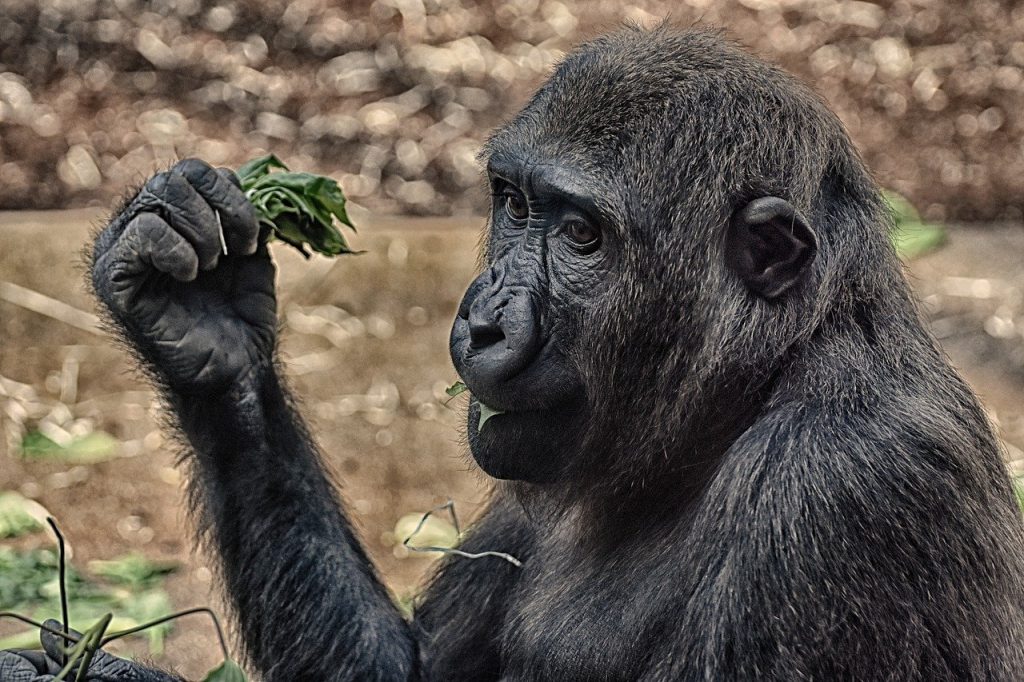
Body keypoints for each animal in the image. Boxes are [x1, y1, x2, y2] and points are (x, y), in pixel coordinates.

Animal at [2, 23, 1024, 675]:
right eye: (514, 203)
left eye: (581, 236)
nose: (483, 320)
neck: (744, 396)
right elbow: (400, 670)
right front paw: (199, 312)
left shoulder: (850, 485)